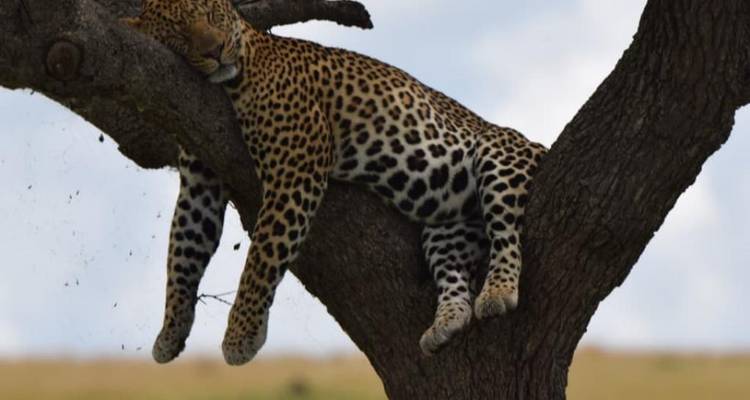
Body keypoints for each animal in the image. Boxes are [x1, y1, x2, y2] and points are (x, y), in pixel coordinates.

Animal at [122, 0, 547, 365]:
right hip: (445, 230)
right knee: (455, 275)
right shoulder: (200, 181)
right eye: (179, 32)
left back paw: (498, 292)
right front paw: (170, 332)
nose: (216, 51)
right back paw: (447, 323)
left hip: (497, 156)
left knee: (507, 233)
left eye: (212, 14)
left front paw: (241, 335)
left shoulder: (295, 168)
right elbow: (182, 252)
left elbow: (261, 257)